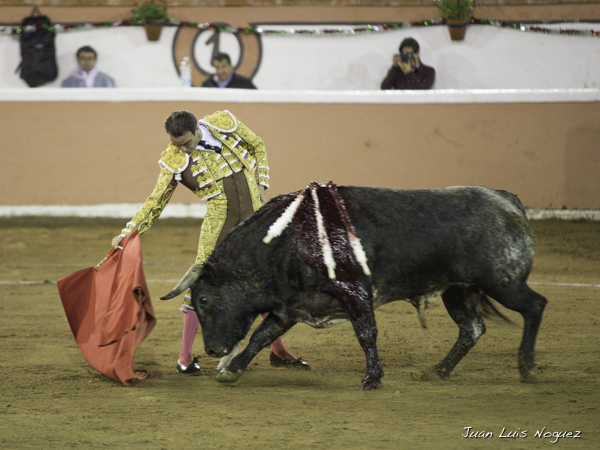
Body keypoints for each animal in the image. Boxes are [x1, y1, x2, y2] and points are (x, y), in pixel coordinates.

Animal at [162, 183, 548, 390]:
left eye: (205, 299)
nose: (212, 350)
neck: (290, 240)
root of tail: (505, 199)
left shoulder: (355, 292)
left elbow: (366, 334)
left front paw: (372, 378)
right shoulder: (291, 306)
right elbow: (261, 335)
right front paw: (232, 371)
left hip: (502, 281)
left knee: (534, 306)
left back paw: (527, 367)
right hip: (458, 289)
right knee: (472, 328)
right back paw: (437, 370)